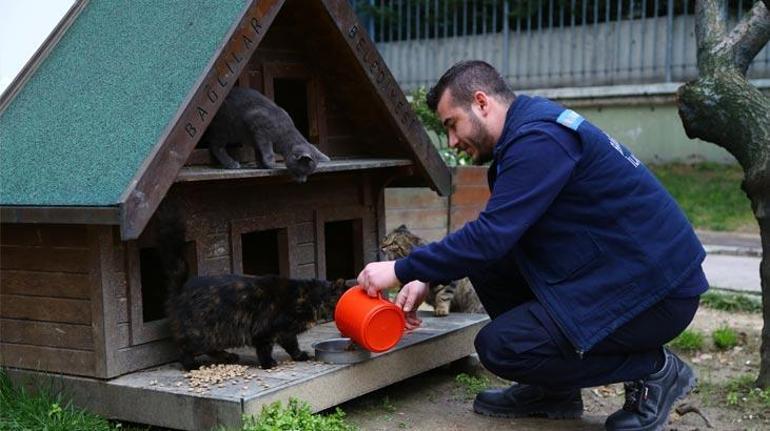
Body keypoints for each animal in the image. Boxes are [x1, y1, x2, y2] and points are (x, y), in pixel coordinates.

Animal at [156, 208, 344, 370]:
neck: (310, 298)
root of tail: (182, 287)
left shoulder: (285, 332)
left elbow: (292, 345)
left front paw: (299, 356)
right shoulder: (266, 329)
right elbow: (265, 349)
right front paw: (268, 364)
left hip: (214, 334)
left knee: (209, 349)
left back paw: (229, 357)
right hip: (202, 332)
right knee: (184, 348)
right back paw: (191, 365)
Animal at [200, 87, 328, 183]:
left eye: (308, 174)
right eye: (302, 172)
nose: (303, 181)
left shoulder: (256, 138)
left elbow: (259, 150)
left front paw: (262, 164)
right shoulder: (259, 127)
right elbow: (267, 148)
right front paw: (270, 163)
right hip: (224, 128)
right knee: (216, 146)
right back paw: (231, 163)